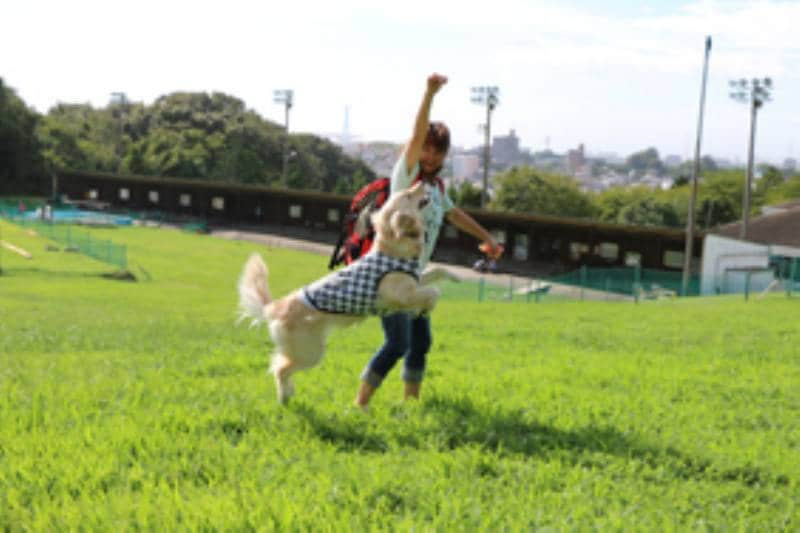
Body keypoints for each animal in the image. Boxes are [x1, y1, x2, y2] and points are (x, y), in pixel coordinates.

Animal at [238, 184, 456, 404]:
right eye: (409, 195)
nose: (422, 184)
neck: (394, 246)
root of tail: (275, 306)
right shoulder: (397, 293)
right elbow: (432, 291)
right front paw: (428, 304)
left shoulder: (414, 279)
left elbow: (437, 270)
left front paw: (455, 277)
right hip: (310, 351)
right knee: (279, 369)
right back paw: (284, 397)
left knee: (280, 364)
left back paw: (288, 393)